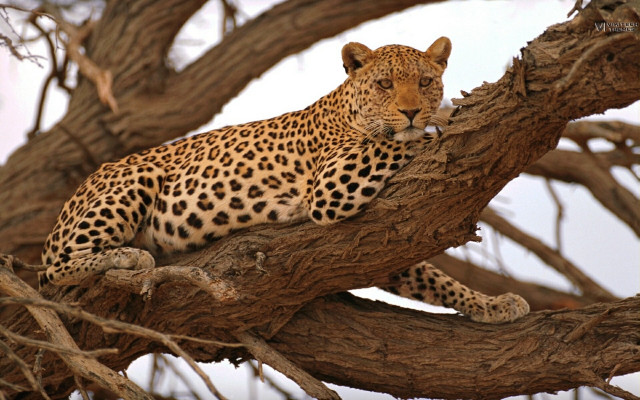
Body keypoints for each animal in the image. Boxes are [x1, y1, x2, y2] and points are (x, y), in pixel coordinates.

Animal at [39, 37, 529, 324]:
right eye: (386, 84)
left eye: (426, 82)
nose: (412, 110)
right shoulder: (330, 186)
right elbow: (396, 142)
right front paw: (441, 127)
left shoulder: (386, 243)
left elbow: (433, 279)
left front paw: (492, 305)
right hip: (135, 178)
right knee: (59, 266)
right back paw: (128, 257)